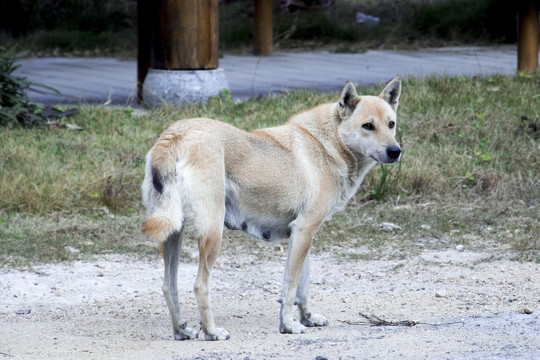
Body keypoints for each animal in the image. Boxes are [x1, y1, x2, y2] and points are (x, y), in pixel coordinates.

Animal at [141, 78, 402, 340]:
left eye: (391, 124)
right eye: (368, 126)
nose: (395, 151)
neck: (327, 143)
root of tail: (175, 135)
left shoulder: (303, 236)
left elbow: (303, 287)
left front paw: (307, 318)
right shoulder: (304, 230)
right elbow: (290, 288)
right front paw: (288, 325)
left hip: (173, 233)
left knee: (169, 286)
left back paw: (181, 330)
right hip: (212, 235)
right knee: (200, 286)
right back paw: (212, 331)